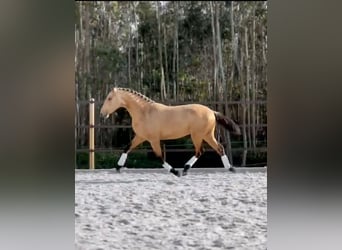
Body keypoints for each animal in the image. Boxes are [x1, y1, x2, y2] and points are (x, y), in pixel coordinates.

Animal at [100, 87, 242, 177]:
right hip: (206, 135)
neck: (144, 112)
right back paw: (229, 168)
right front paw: (118, 167)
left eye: (110, 98)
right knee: (217, 148)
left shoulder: (153, 139)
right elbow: (127, 148)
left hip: (197, 135)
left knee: (201, 151)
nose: (102, 113)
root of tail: (212, 111)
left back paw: (185, 170)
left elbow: (159, 157)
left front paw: (175, 172)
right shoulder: (140, 137)